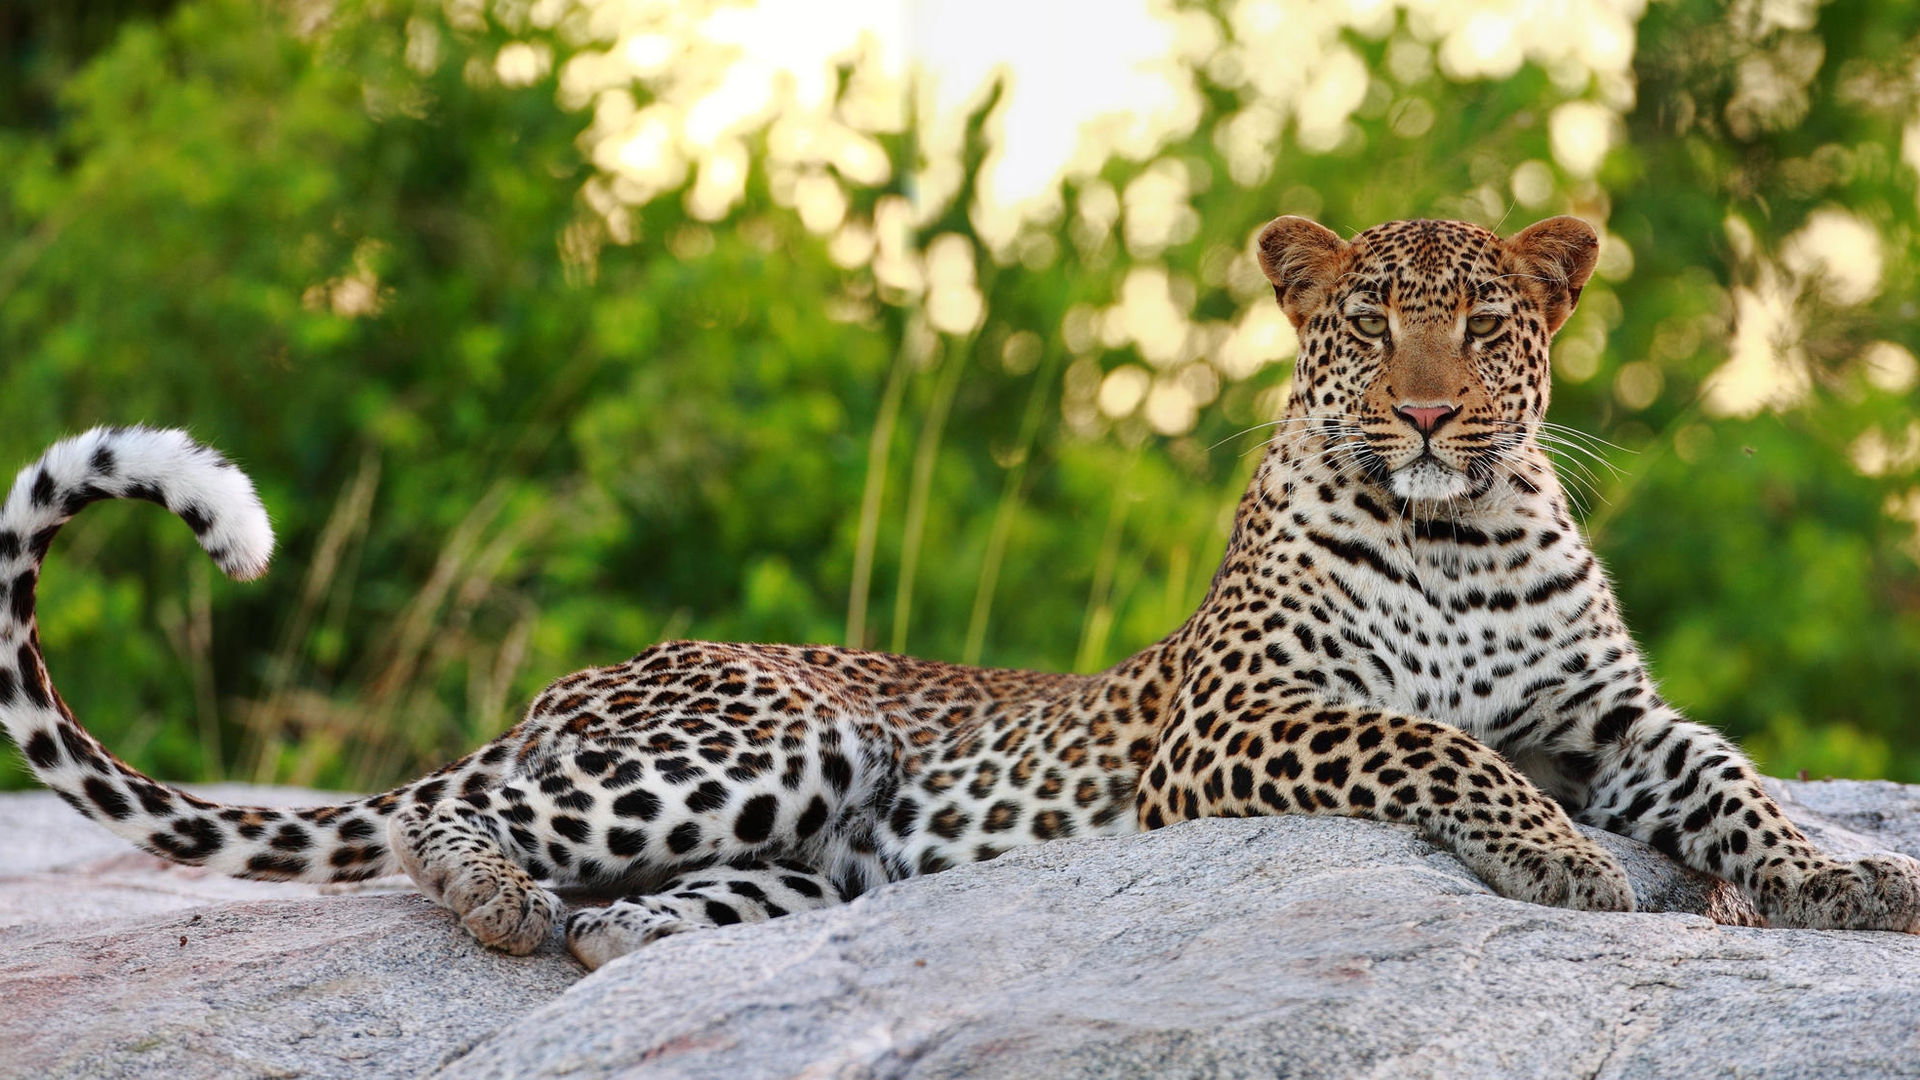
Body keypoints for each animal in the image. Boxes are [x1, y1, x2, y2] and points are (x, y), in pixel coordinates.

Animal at [3, 212, 1920, 968]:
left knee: (655, 900)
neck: (1454, 537)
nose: (1436, 415)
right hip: (760, 740)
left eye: (1491, 323)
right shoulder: (1239, 725)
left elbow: (1731, 775)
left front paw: (1848, 876)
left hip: (795, 852)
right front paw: (1555, 856)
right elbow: (1432, 747)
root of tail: (573, 684)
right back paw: (498, 898)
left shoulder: (1615, 717)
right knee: (434, 819)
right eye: (1374, 326)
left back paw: (621, 937)